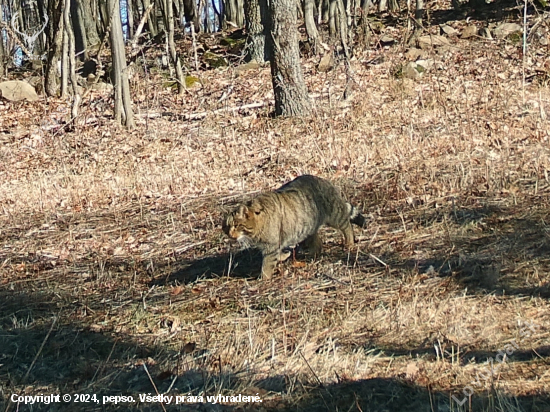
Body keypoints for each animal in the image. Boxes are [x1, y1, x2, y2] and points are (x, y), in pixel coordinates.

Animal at [224, 175, 366, 280]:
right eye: (225, 227)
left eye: (236, 226)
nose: (230, 234)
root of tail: (322, 179)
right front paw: (284, 256)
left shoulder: (271, 247)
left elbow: (267, 265)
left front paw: (264, 279)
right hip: (308, 227)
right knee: (317, 242)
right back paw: (314, 254)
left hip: (335, 215)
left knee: (347, 225)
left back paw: (349, 243)